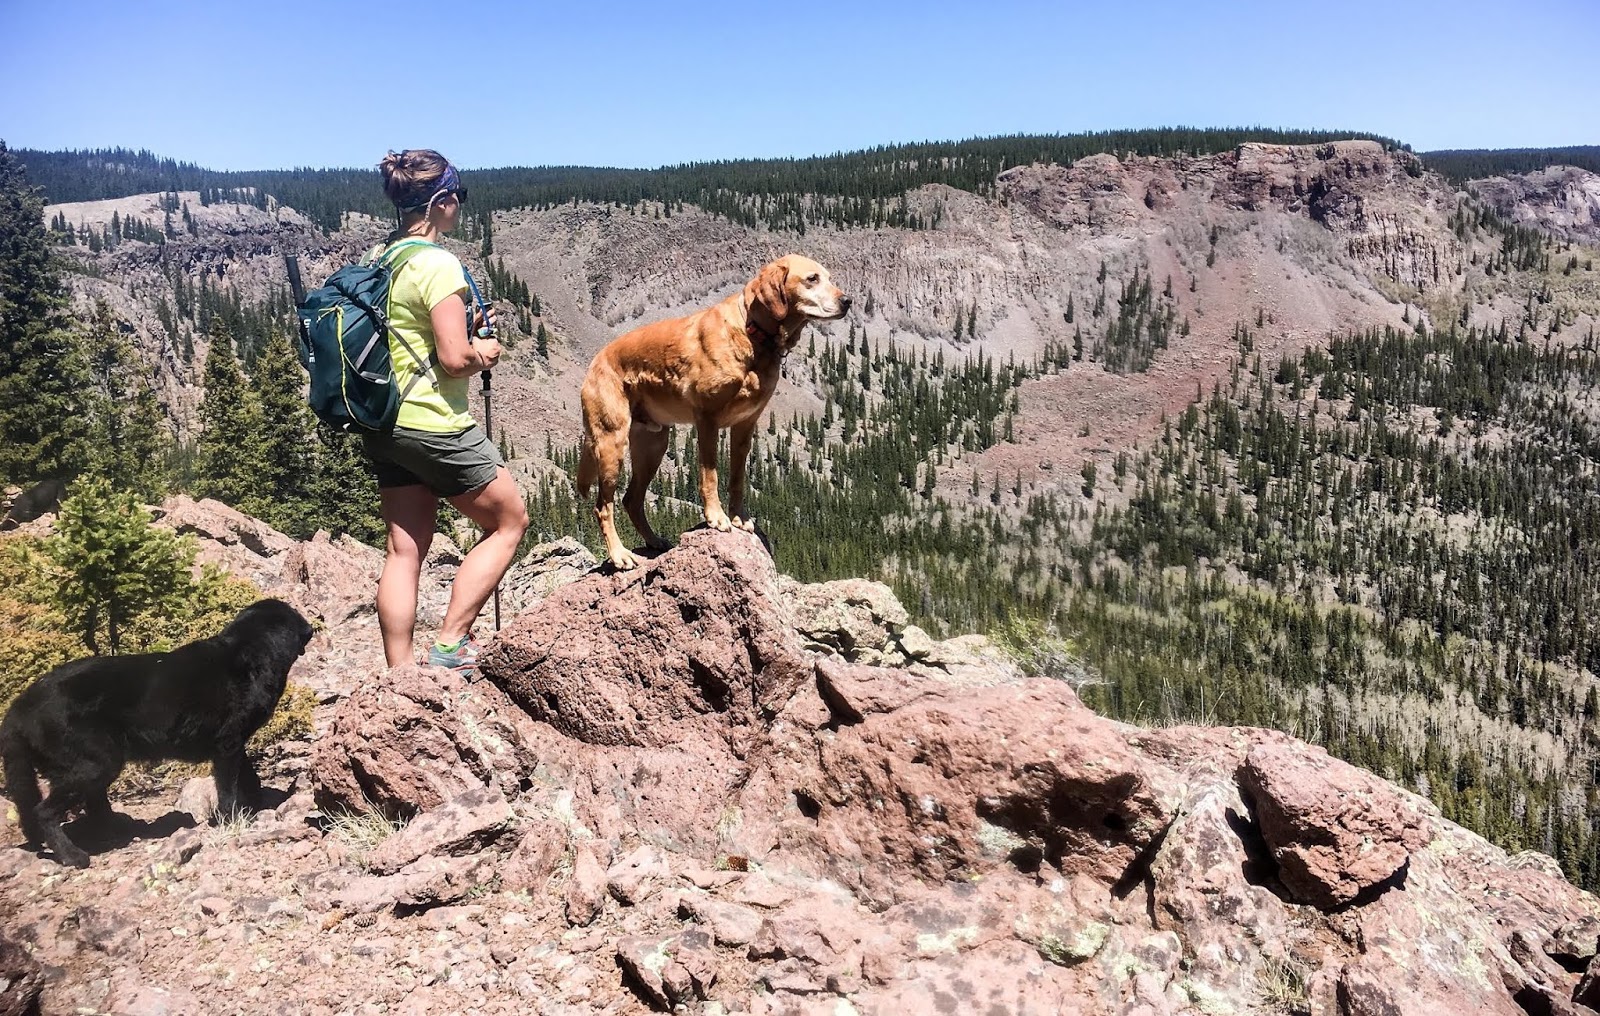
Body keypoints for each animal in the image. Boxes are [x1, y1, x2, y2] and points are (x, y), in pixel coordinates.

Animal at [0, 601, 312, 870]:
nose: (310, 630)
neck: (251, 652)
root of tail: (18, 708)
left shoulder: (235, 744)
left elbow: (248, 775)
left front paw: (257, 803)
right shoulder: (227, 744)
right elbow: (228, 787)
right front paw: (234, 818)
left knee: (93, 803)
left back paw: (119, 829)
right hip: (96, 763)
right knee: (46, 811)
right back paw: (73, 855)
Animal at [576, 254, 851, 572]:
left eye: (829, 278)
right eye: (812, 279)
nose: (848, 301)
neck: (752, 333)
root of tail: (594, 362)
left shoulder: (745, 426)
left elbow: (737, 479)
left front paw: (740, 517)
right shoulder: (707, 420)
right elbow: (711, 475)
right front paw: (716, 517)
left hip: (653, 445)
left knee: (631, 499)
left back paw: (654, 541)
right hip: (612, 442)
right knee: (602, 505)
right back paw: (619, 554)